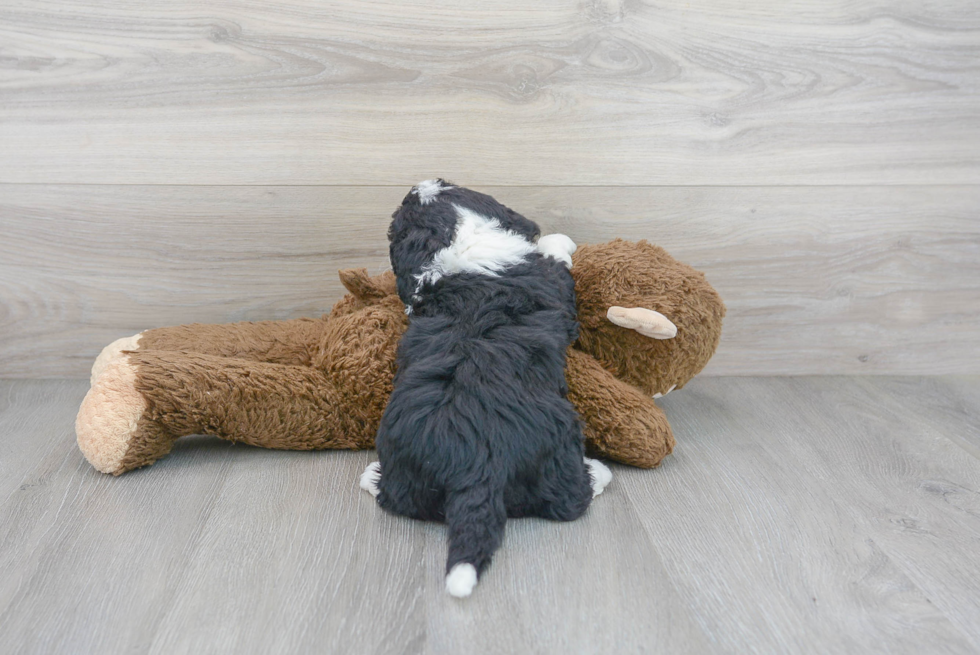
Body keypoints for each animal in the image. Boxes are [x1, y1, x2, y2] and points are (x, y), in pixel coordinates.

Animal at [356, 179, 608, 600]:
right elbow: (553, 253)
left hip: (407, 461)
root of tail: (475, 463)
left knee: (397, 497)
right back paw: (600, 473)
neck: (459, 233)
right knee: (571, 499)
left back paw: (371, 474)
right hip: (560, 441)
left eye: (448, 185)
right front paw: (561, 240)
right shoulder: (554, 278)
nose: (419, 184)